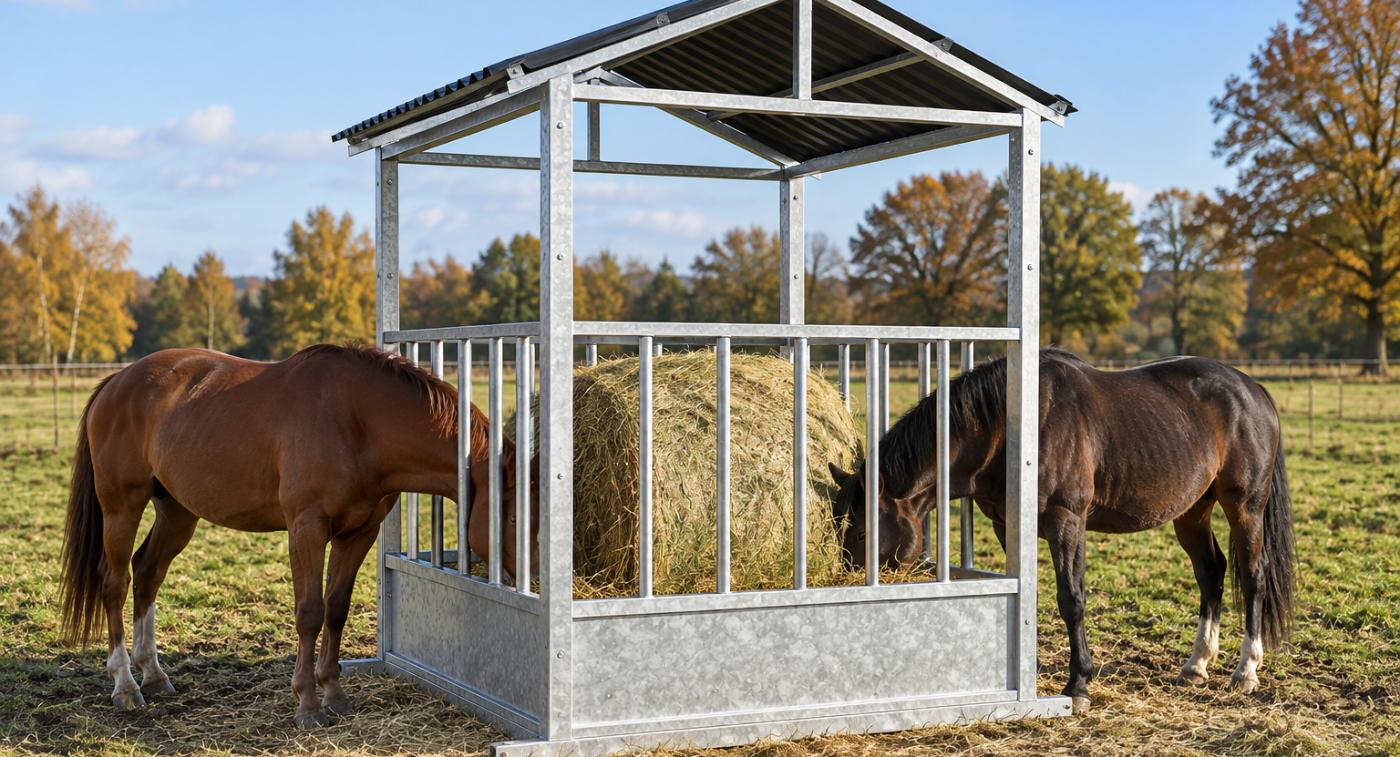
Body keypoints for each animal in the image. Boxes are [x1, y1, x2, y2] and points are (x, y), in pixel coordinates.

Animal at [58, 344, 538, 727]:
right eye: (514, 520)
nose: (531, 583)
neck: (356, 422)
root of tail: (117, 382)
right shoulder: (306, 529)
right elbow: (309, 612)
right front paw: (307, 703)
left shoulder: (358, 533)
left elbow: (336, 608)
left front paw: (335, 693)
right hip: (122, 507)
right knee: (115, 582)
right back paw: (125, 685)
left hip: (177, 512)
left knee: (148, 572)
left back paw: (154, 675)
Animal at [827, 348, 1295, 713]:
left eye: (864, 535)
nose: (845, 583)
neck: (1009, 429)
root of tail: (1253, 390)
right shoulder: (1006, 525)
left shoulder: (1066, 521)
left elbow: (1072, 599)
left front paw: (1078, 684)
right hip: (1193, 510)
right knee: (1210, 572)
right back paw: (1196, 665)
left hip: (1245, 507)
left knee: (1253, 577)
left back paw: (1246, 670)